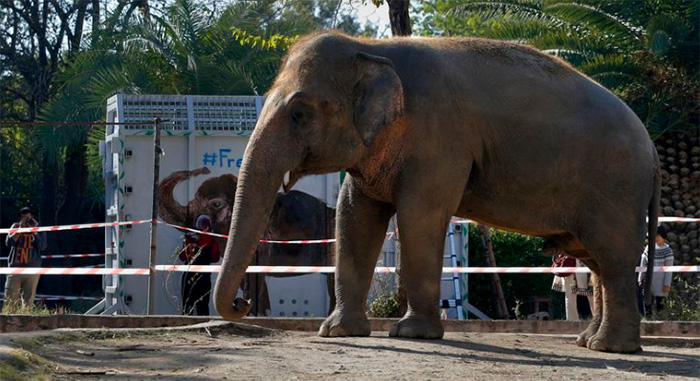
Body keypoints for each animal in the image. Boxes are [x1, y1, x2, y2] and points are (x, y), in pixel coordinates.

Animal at [212, 30, 656, 354]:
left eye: (299, 113)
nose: (243, 305)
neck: (371, 49)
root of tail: (651, 146)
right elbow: (355, 215)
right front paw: (337, 332)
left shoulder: (440, 139)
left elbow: (419, 215)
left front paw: (411, 334)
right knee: (595, 261)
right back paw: (588, 342)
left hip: (616, 185)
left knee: (612, 259)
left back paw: (611, 349)